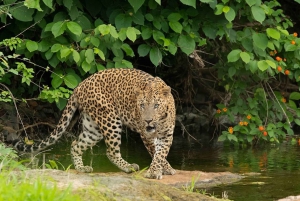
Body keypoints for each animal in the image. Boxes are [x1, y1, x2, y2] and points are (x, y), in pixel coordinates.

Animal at [13, 68, 176, 180]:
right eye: (141, 105)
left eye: (156, 105)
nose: (148, 120)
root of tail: (80, 85)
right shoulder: (146, 134)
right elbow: (155, 152)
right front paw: (155, 172)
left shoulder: (167, 134)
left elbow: (161, 153)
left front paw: (165, 168)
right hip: (110, 119)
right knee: (110, 151)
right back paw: (128, 167)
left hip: (93, 129)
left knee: (75, 144)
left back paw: (81, 168)